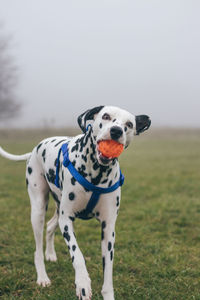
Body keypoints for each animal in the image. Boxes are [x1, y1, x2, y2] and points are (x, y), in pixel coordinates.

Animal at [0, 106, 150, 298]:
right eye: (106, 116)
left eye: (129, 124)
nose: (116, 131)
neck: (97, 173)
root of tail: (34, 150)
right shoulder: (67, 220)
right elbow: (77, 255)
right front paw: (82, 283)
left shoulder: (108, 229)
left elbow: (108, 271)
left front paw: (107, 294)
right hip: (38, 209)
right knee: (37, 248)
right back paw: (42, 276)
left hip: (58, 207)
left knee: (50, 225)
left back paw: (50, 254)